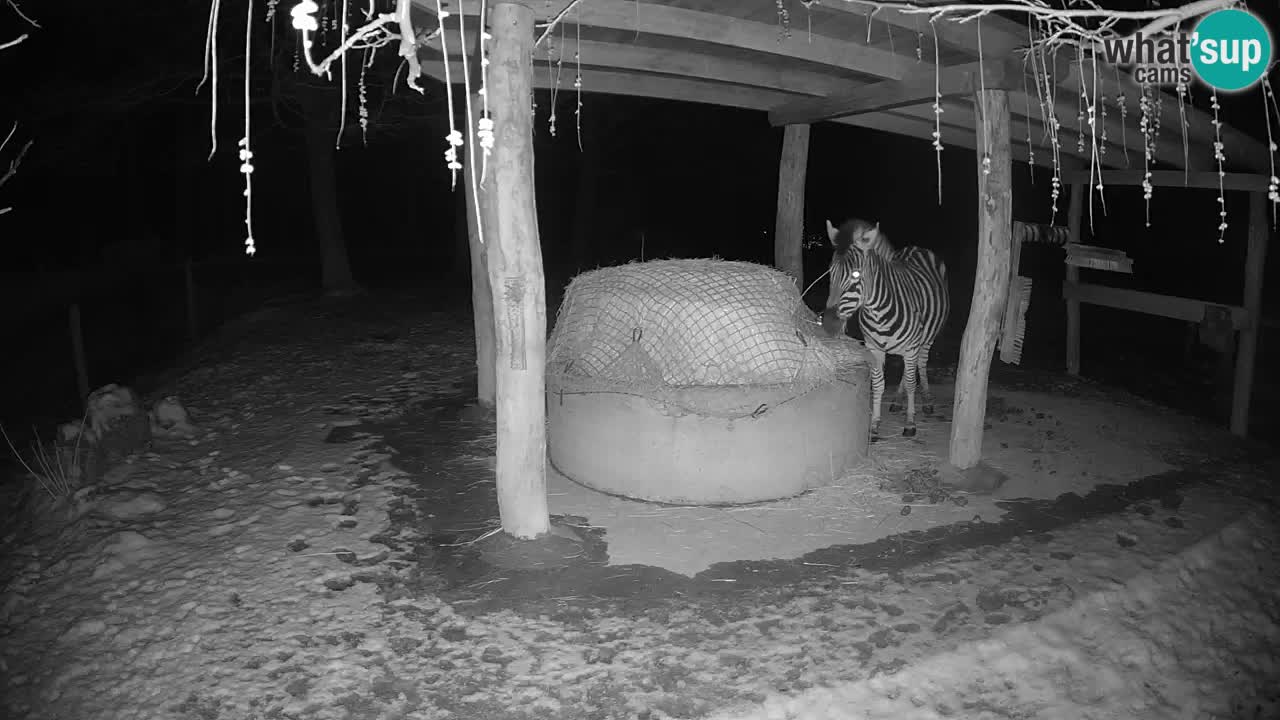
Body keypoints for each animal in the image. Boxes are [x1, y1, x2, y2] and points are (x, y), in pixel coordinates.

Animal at [819, 215, 952, 438]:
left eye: (856, 275)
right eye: (831, 272)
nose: (829, 324)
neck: (877, 314)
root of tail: (917, 247)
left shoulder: (911, 346)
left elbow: (911, 383)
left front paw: (910, 423)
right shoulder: (874, 348)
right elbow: (879, 384)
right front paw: (874, 425)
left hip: (926, 339)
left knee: (921, 364)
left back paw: (926, 400)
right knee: (909, 369)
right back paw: (898, 401)